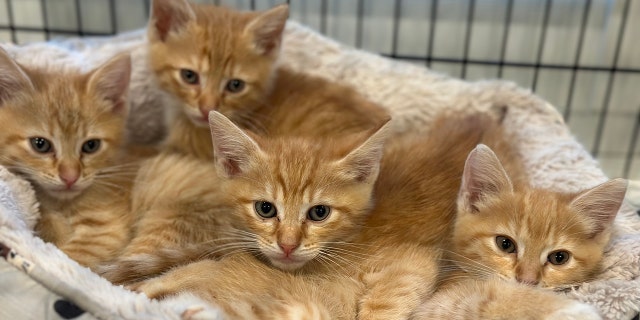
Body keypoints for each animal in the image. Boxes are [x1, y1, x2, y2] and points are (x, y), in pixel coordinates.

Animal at [0, 48, 139, 268]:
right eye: (40, 144)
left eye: (91, 146)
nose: (70, 177)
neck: (61, 204)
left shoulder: (105, 231)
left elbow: (69, 261)